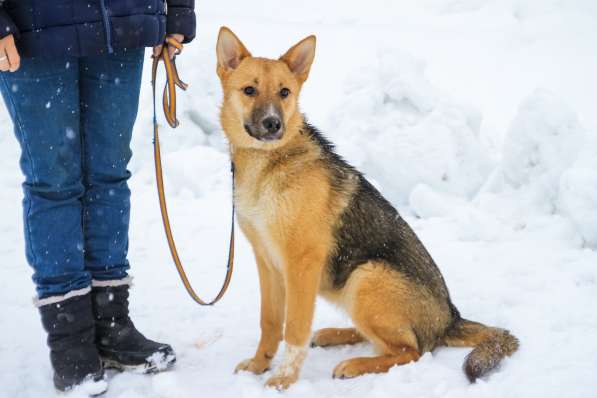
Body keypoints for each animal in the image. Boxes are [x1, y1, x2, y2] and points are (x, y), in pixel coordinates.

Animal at [214, 27, 516, 388]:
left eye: (284, 92)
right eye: (249, 90)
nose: (273, 124)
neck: (267, 165)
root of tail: (450, 319)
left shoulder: (301, 263)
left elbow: (295, 330)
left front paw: (284, 380)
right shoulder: (267, 263)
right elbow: (271, 322)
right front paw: (260, 364)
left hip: (365, 277)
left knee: (410, 350)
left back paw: (354, 364)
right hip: (352, 287)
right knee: (385, 340)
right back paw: (334, 335)